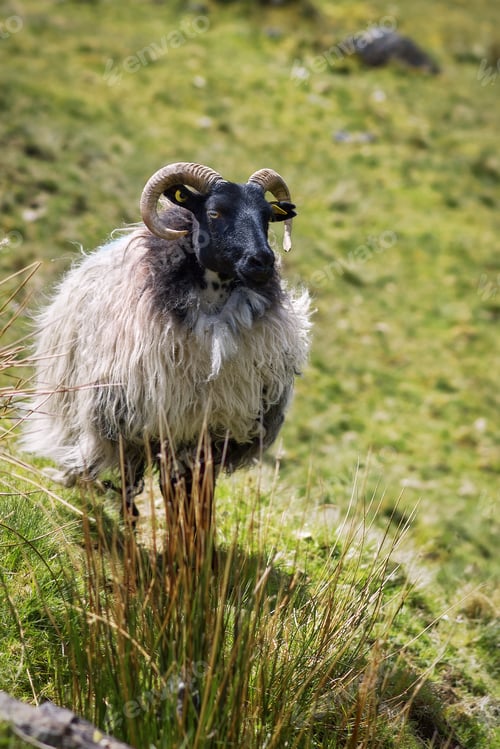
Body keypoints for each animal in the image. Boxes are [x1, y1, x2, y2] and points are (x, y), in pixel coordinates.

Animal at [22, 162, 311, 525]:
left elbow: (198, 492)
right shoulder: (151, 422)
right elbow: (163, 488)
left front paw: (198, 536)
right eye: (214, 212)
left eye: (267, 216)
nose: (263, 261)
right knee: (127, 480)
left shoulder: (211, 429)